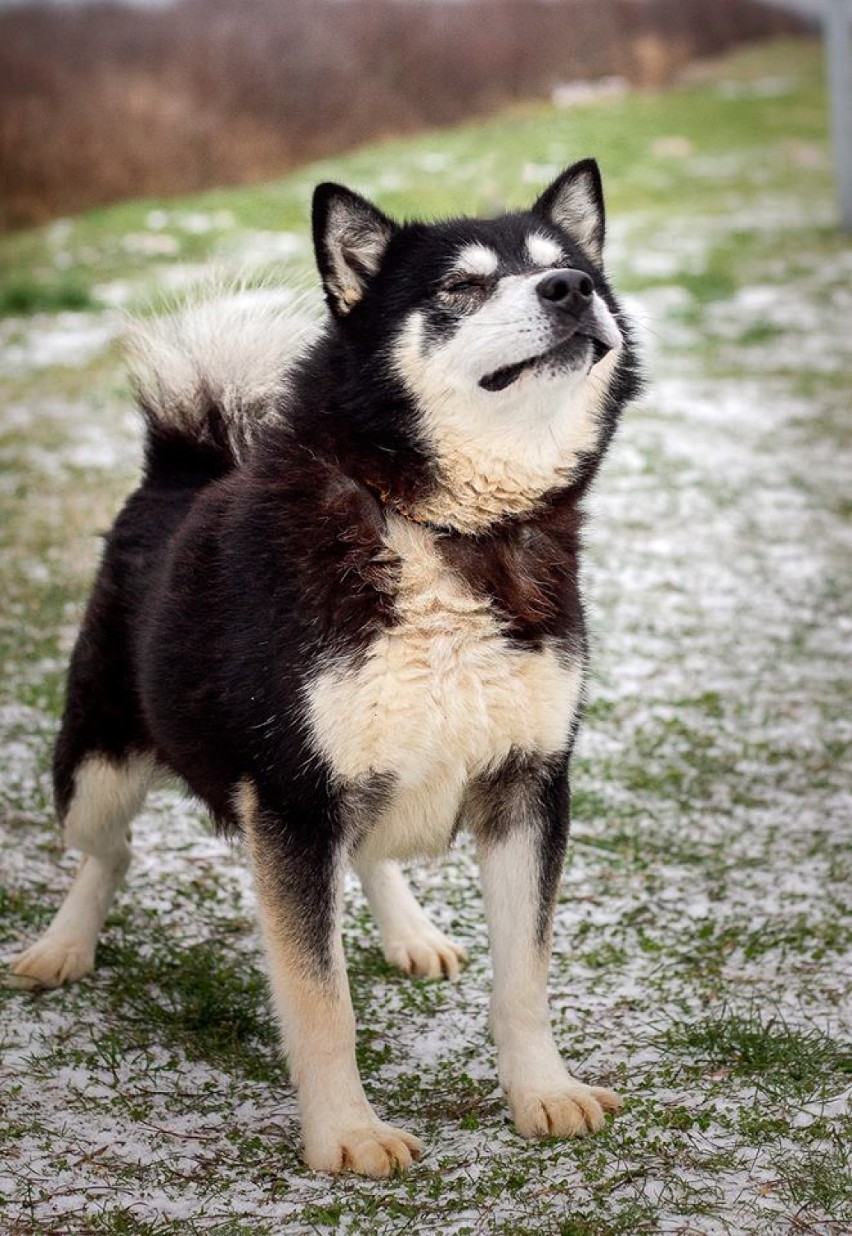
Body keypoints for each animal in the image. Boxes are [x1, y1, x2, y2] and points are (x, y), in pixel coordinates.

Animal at [11, 161, 638, 1176]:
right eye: (461, 287)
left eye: (568, 267)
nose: (571, 290)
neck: (445, 531)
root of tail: (185, 462)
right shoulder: (296, 799)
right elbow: (320, 998)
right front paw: (346, 1133)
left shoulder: (528, 783)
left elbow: (524, 977)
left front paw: (541, 1093)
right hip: (98, 762)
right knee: (108, 850)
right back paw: (64, 947)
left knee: (369, 852)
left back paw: (409, 932)